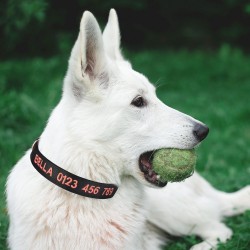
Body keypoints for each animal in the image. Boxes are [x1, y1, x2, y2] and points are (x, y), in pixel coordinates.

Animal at [6, 8, 250, 249]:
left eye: (155, 96)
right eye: (139, 101)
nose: (204, 130)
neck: (87, 189)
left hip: (169, 210)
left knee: (220, 229)